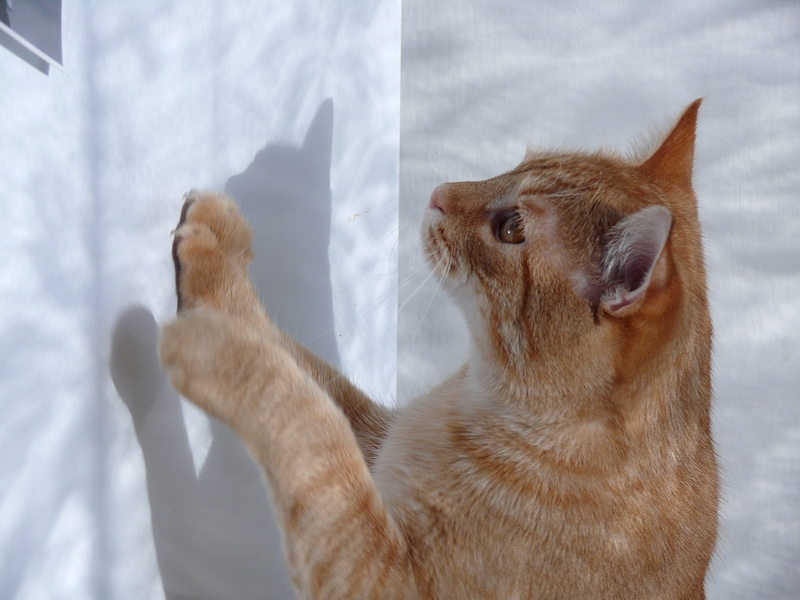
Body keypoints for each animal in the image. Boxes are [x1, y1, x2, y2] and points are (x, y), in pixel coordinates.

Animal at [159, 100, 718, 599]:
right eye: (511, 167)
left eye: (511, 227)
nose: (438, 192)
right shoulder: (375, 441)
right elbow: (306, 380)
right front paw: (213, 252)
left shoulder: (381, 575)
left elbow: (304, 419)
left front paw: (215, 352)